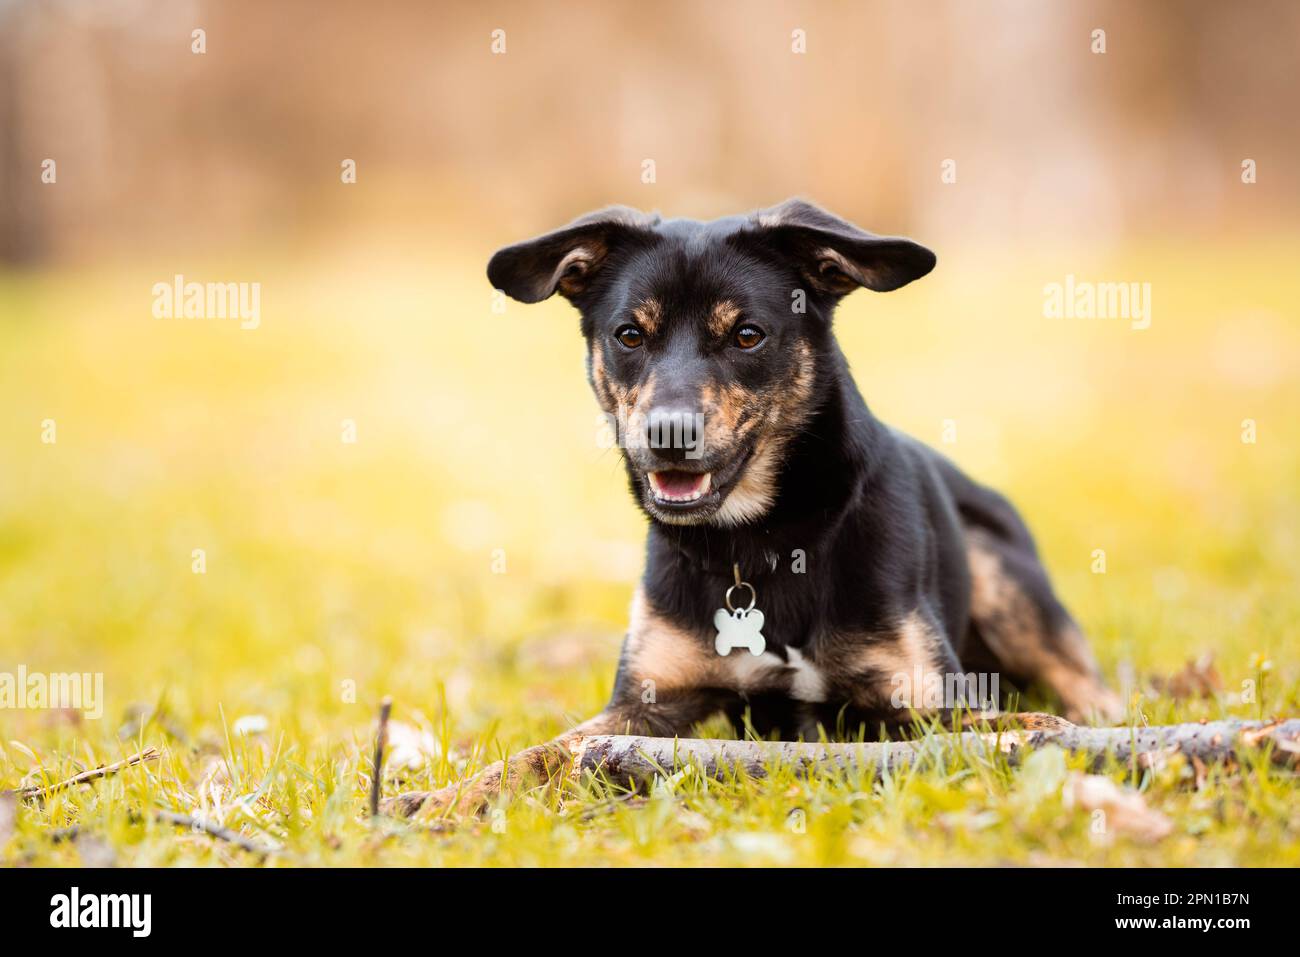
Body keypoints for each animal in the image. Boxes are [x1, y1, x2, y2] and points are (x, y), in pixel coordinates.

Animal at [382, 200, 1118, 816]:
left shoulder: (925, 699)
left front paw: (1047, 734)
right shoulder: (643, 706)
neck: (760, 545)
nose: (668, 433)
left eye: (746, 335)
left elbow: (999, 727)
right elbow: (543, 751)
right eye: (629, 334)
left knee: (1090, 684)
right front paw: (441, 799)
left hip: (1008, 582)